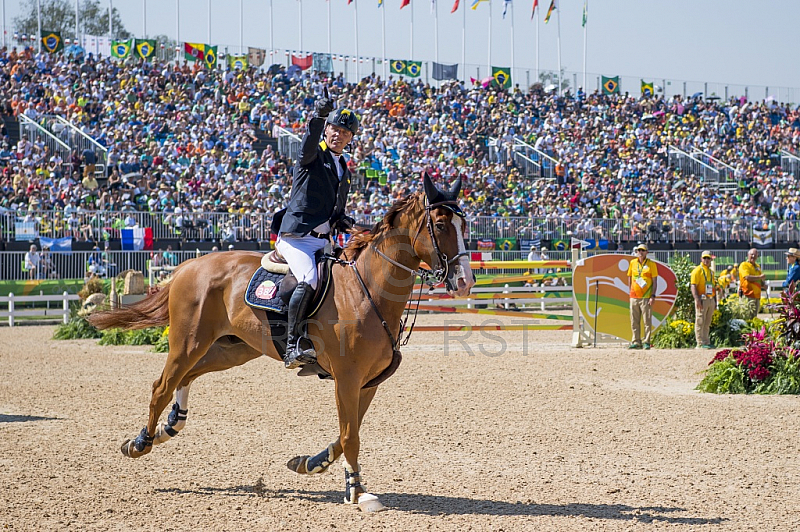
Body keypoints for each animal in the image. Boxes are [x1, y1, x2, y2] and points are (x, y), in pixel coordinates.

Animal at [90, 176, 472, 512]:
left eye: (464, 226)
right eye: (440, 225)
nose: (465, 282)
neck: (368, 289)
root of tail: (189, 264)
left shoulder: (367, 383)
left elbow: (345, 433)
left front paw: (311, 464)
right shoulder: (347, 379)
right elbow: (351, 436)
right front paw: (359, 493)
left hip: (233, 349)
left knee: (188, 377)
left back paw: (170, 425)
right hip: (188, 343)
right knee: (162, 385)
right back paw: (141, 443)